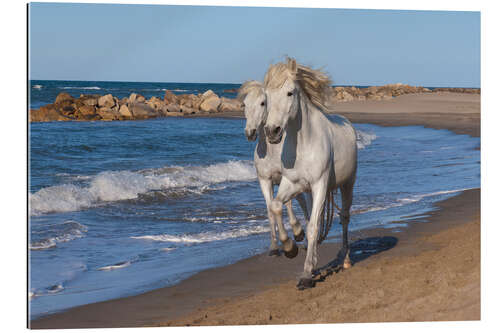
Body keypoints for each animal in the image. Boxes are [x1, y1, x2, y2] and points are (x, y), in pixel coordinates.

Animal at [236, 80, 310, 256]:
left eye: (263, 103)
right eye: (244, 104)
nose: (250, 133)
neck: (272, 152)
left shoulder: (285, 178)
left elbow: (287, 203)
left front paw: (297, 232)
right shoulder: (265, 181)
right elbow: (270, 209)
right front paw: (275, 246)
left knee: (302, 202)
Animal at [264, 59, 358, 288]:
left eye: (290, 93)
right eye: (266, 96)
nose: (272, 131)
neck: (305, 141)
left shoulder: (320, 185)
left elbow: (314, 226)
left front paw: (306, 275)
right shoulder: (292, 183)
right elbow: (276, 206)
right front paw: (290, 247)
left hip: (348, 184)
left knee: (344, 217)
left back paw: (346, 259)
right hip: (307, 191)